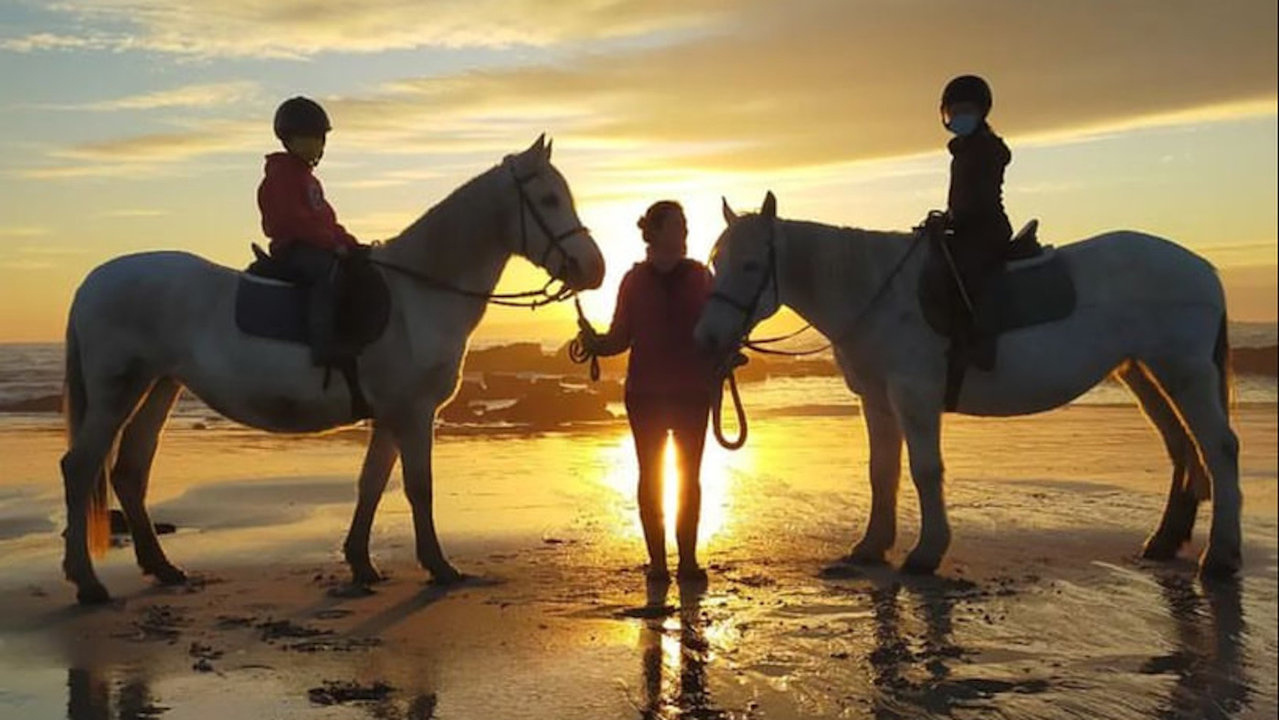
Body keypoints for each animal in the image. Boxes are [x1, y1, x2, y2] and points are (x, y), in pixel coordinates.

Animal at [64, 135, 608, 603]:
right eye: (549, 199)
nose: (594, 269)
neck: (418, 295)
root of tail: (92, 282)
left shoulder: (391, 415)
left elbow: (372, 483)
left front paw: (361, 563)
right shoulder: (413, 413)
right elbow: (418, 487)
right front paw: (439, 566)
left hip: (160, 385)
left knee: (131, 470)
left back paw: (162, 567)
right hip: (118, 391)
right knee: (80, 466)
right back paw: (88, 583)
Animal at [695, 194, 1243, 583]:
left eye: (750, 265)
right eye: (715, 261)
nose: (709, 338)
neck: (876, 291)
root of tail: (1203, 269)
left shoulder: (913, 394)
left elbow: (924, 470)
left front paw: (926, 551)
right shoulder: (876, 399)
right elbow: (881, 470)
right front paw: (872, 545)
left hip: (1185, 372)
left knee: (1218, 447)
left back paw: (1221, 555)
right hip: (1143, 371)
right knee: (1182, 447)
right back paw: (1165, 541)